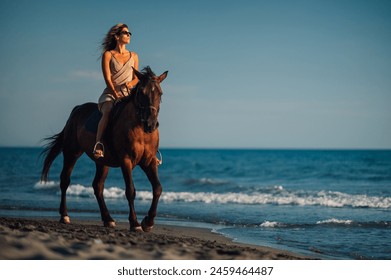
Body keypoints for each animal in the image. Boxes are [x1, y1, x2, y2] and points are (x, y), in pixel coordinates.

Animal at [40, 66, 168, 232]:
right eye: (141, 92)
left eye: (160, 93)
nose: (151, 124)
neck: (140, 129)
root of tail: (76, 110)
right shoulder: (126, 161)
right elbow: (130, 191)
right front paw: (135, 223)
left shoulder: (149, 161)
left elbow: (158, 188)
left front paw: (148, 221)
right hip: (71, 153)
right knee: (65, 180)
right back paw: (65, 216)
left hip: (102, 162)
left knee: (98, 186)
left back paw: (108, 219)